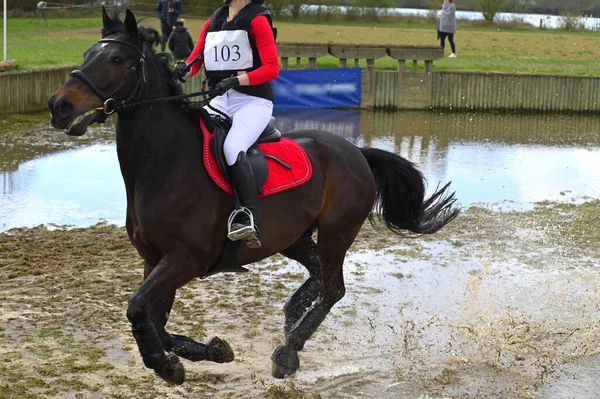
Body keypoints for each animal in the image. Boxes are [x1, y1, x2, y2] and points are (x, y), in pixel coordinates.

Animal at [48, 7, 460, 386]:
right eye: (87, 53)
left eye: (117, 60)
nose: (58, 106)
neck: (163, 163)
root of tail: (356, 152)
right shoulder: (155, 260)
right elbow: (155, 321)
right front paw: (213, 350)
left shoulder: (184, 259)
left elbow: (136, 309)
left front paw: (166, 366)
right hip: (292, 237)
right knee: (317, 274)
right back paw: (293, 313)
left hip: (336, 232)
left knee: (333, 288)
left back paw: (288, 352)